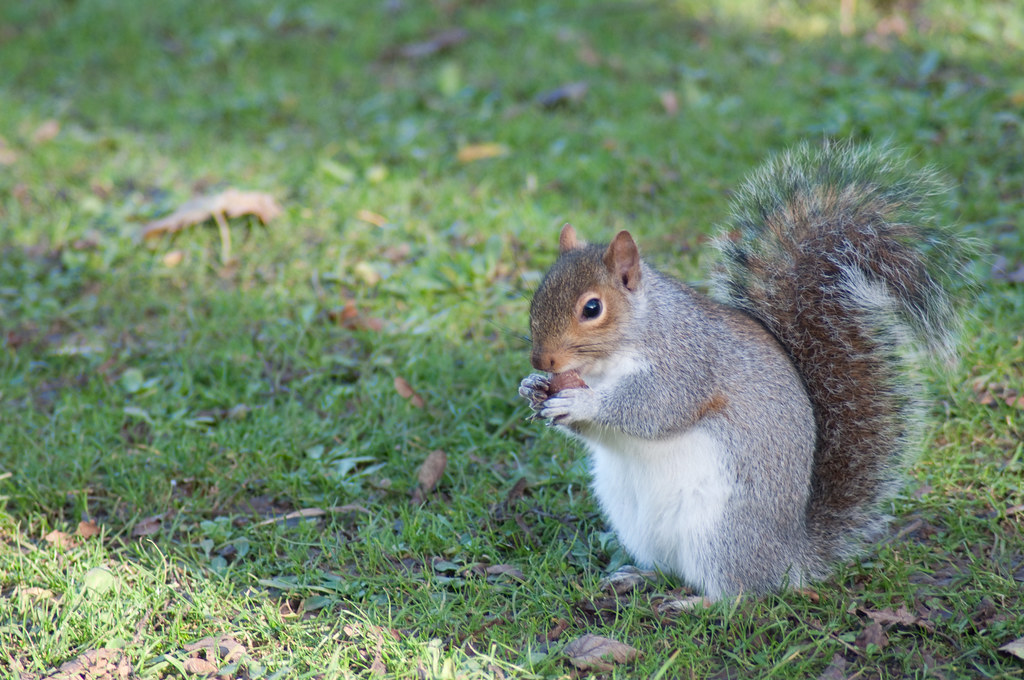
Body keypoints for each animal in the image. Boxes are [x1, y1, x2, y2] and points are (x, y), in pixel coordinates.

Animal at [518, 141, 972, 599]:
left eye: (592, 308)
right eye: (537, 293)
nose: (541, 361)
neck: (608, 361)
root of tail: (791, 557)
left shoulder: (687, 364)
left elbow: (653, 408)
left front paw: (582, 402)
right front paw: (533, 387)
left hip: (722, 530)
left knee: (740, 595)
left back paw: (696, 603)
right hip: (639, 523)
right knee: (673, 569)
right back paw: (639, 576)